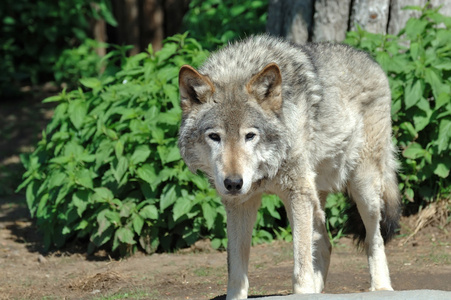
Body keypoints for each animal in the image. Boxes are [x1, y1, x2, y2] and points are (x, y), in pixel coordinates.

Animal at [178, 35, 400, 300]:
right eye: (214, 137)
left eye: (250, 136)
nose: (233, 183)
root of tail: (371, 59)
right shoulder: (239, 204)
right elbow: (237, 272)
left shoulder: (297, 194)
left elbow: (301, 263)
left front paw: (304, 290)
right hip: (316, 194)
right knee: (325, 245)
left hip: (362, 188)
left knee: (373, 238)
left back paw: (381, 287)